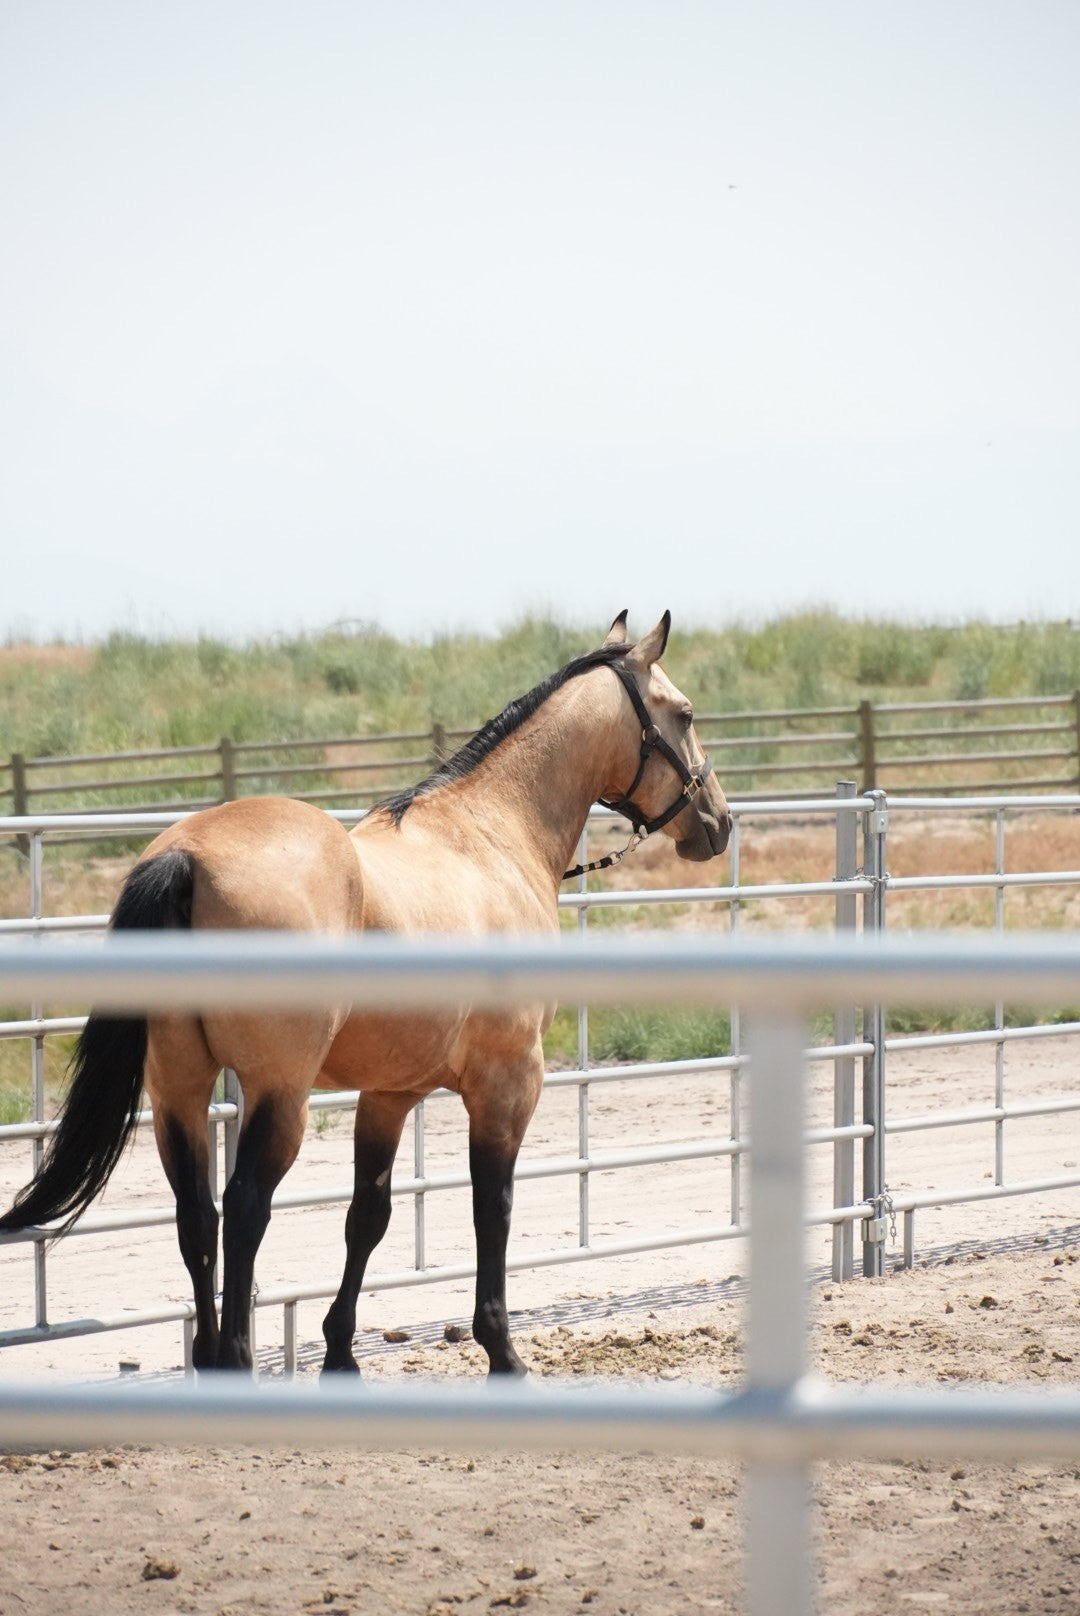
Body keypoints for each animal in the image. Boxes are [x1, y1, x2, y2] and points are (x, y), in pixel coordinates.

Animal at [0, 611, 730, 1374]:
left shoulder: (389, 1093)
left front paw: (341, 1352)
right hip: (278, 1093)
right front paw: (501, 1348)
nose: (717, 821)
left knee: (197, 1216)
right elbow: (492, 1206)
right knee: (246, 1209)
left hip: (179, 1085)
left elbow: (367, 1216)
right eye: (684, 714)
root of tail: (186, 856)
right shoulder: (508, 1083)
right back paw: (235, 1358)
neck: (490, 836)